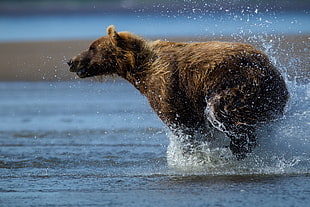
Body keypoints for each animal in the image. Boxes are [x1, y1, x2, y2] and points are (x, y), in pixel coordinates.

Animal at [67, 25, 288, 159]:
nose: (71, 61)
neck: (139, 69)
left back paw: (236, 147)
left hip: (240, 84)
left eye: (92, 47)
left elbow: (182, 123)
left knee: (224, 111)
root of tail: (272, 68)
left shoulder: (167, 87)